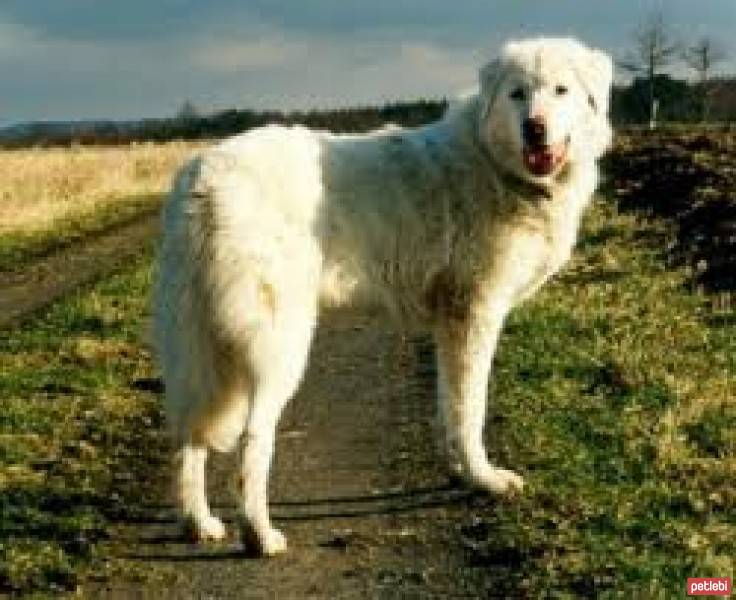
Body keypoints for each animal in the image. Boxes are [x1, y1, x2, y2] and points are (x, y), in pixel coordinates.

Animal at [155, 36, 616, 552]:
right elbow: (471, 409)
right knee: (253, 439)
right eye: (518, 94)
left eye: (560, 90)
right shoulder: (476, 314)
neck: (496, 165)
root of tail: (204, 178)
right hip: (278, 344)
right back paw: (259, 533)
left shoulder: (450, 325)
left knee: (187, 435)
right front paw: (485, 479)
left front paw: (458, 470)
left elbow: (450, 405)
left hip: (197, 348)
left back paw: (198, 522)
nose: (534, 128)